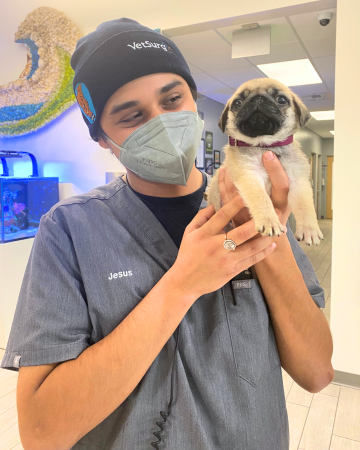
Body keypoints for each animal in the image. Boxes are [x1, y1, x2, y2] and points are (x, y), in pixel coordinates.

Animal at [207, 77, 324, 246]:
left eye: (281, 99)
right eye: (237, 103)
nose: (258, 98)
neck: (265, 145)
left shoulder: (299, 181)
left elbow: (305, 206)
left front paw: (310, 230)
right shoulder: (250, 176)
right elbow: (261, 199)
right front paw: (269, 221)